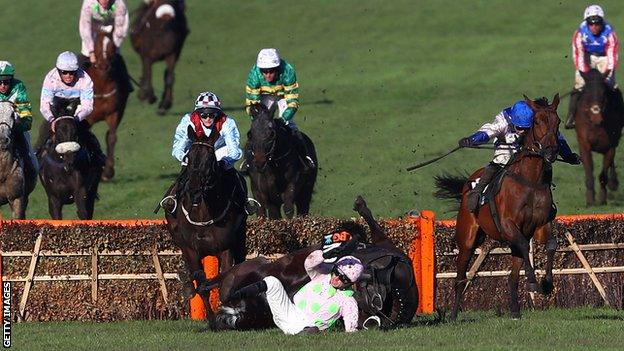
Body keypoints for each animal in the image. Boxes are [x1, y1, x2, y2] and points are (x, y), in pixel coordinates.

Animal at [86, 27, 130, 182]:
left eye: (111, 45)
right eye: (97, 43)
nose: (104, 65)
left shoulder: (114, 113)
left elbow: (111, 137)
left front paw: (108, 172)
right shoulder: (88, 118)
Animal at [166, 124, 249, 330]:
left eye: (210, 158)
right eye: (188, 156)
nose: (194, 189)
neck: (205, 212)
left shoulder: (226, 248)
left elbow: (223, 282)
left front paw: (228, 317)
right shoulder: (191, 251)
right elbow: (201, 285)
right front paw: (212, 321)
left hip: (240, 240)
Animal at [436, 95, 564, 320]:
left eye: (558, 122)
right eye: (537, 121)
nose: (551, 151)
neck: (530, 181)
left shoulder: (541, 223)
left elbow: (550, 245)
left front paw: (547, 284)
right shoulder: (508, 225)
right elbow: (524, 245)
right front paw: (533, 281)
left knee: (512, 277)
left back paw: (515, 310)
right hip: (467, 239)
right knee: (460, 277)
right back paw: (453, 315)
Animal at [572, 69, 620, 206]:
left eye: (603, 92)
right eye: (586, 92)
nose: (596, 117)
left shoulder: (610, 146)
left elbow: (603, 174)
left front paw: (602, 198)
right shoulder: (584, 144)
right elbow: (589, 172)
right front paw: (590, 200)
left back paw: (613, 183)